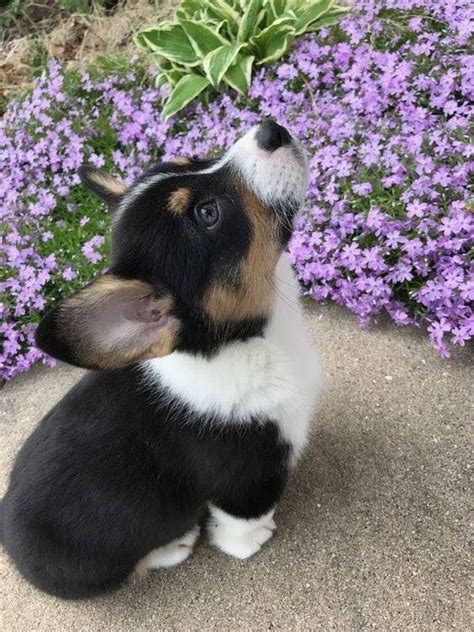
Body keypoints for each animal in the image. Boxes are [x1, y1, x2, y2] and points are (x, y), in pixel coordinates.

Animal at [0, 118, 322, 596]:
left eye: (192, 159)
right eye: (207, 214)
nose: (271, 129)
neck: (240, 342)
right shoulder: (249, 474)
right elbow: (241, 525)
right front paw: (253, 541)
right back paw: (176, 545)